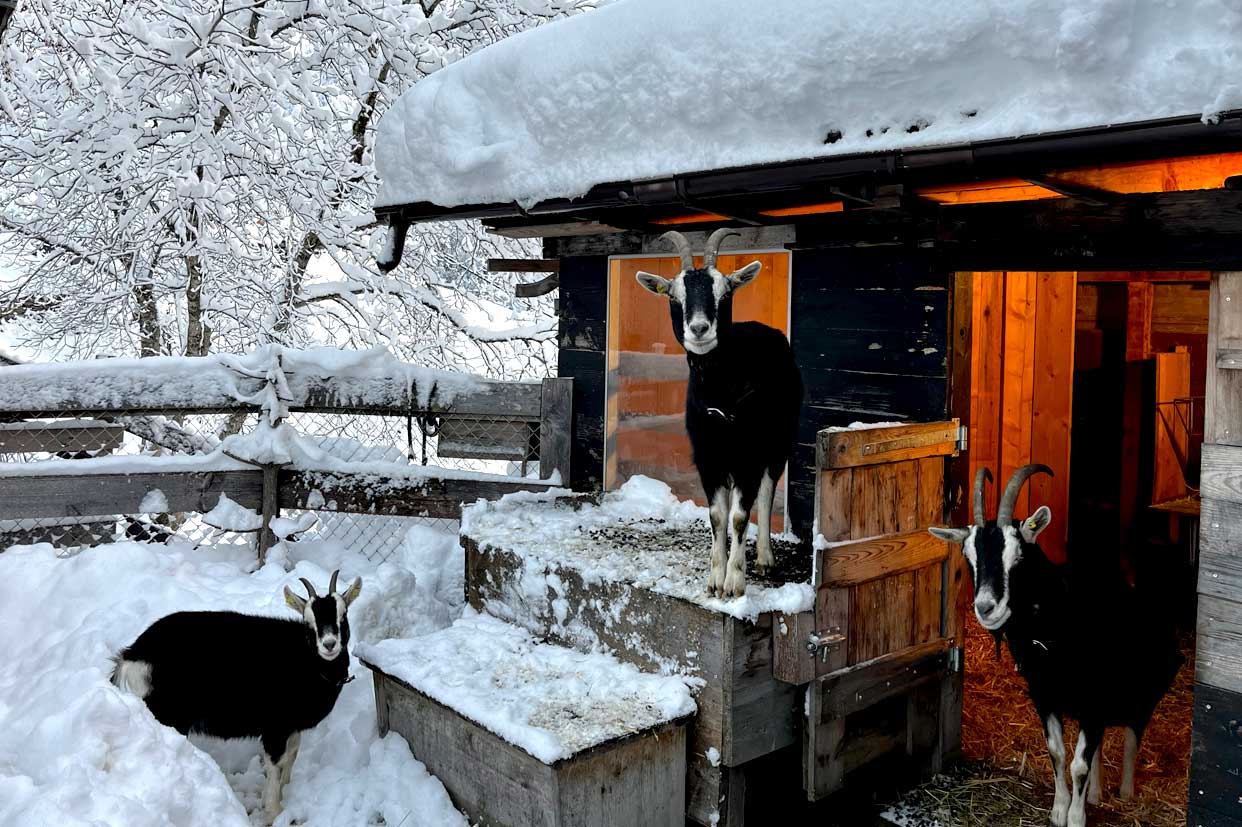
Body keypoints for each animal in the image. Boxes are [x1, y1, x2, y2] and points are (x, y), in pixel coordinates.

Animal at [112, 571, 365, 819]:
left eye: (343, 615)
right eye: (308, 623)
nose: (329, 644)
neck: (307, 662)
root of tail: (132, 655)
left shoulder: (292, 727)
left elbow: (291, 755)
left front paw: (285, 792)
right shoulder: (275, 727)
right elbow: (276, 763)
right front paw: (274, 810)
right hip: (168, 713)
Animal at [635, 228, 799, 596]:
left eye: (725, 293)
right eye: (673, 297)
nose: (699, 329)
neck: (722, 396)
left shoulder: (749, 454)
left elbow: (739, 516)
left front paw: (735, 582)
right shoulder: (708, 457)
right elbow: (717, 517)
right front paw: (714, 578)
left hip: (778, 442)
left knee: (765, 494)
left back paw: (764, 558)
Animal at [929, 466, 1177, 819]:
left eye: (1019, 555)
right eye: (969, 555)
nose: (986, 607)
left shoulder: (1096, 698)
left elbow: (1079, 765)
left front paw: (1075, 817)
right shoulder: (1044, 695)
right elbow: (1059, 753)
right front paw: (1060, 809)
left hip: (1143, 692)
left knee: (1132, 734)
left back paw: (1126, 791)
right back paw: (1096, 794)